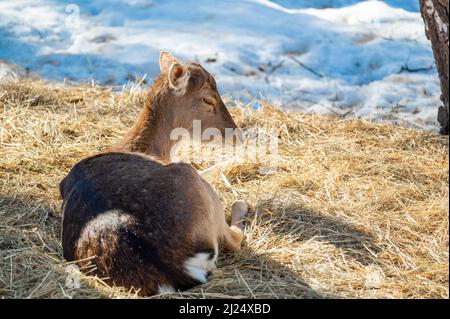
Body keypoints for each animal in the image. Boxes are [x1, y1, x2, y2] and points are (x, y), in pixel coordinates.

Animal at [58, 51, 248, 296]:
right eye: (208, 100)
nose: (238, 136)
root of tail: (175, 267)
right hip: (194, 183)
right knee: (234, 238)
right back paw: (240, 202)